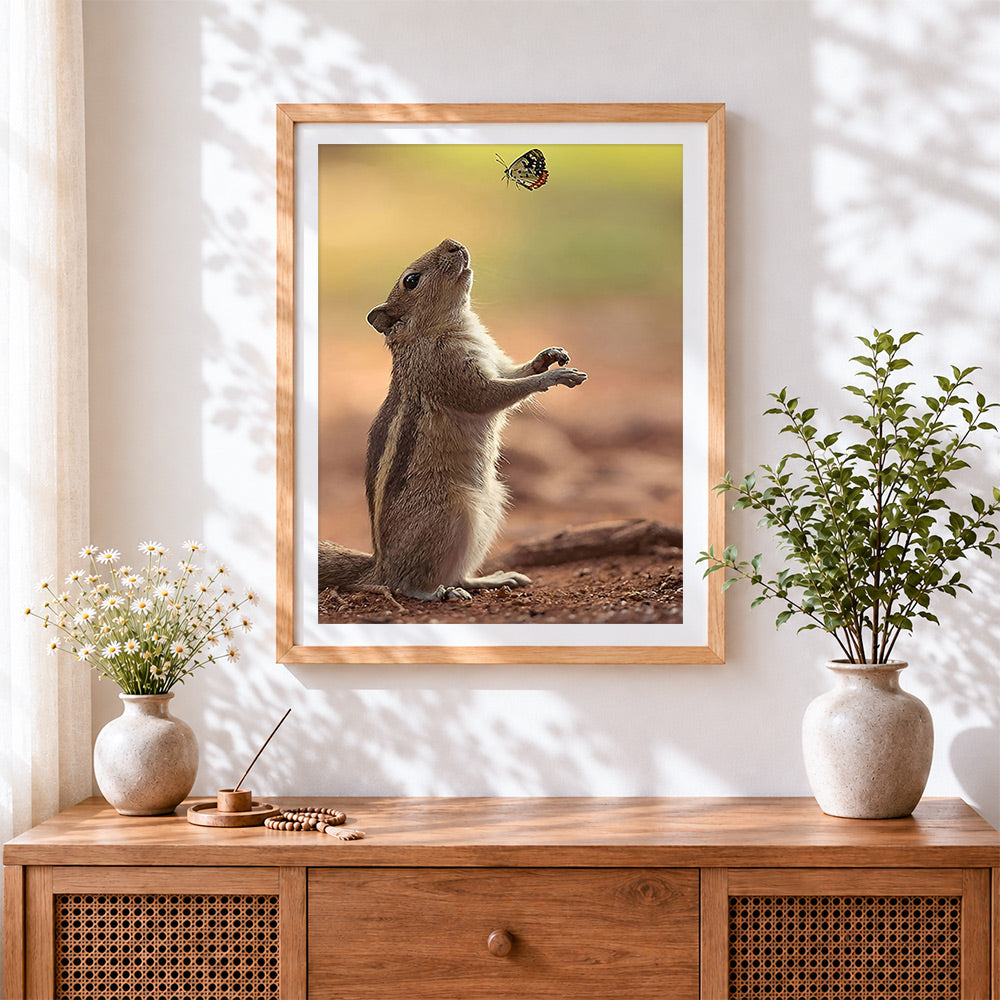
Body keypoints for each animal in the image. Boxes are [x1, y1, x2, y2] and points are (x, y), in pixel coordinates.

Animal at [319, 238, 587, 602]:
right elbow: (494, 395)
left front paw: (549, 356)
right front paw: (554, 377)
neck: (451, 326)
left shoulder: (495, 362)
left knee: (459, 573)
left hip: (492, 505)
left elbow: (514, 373)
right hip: (454, 511)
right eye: (411, 281)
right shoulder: (454, 376)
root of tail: (380, 565)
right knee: (405, 584)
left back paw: (493, 579)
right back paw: (438, 593)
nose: (453, 243)